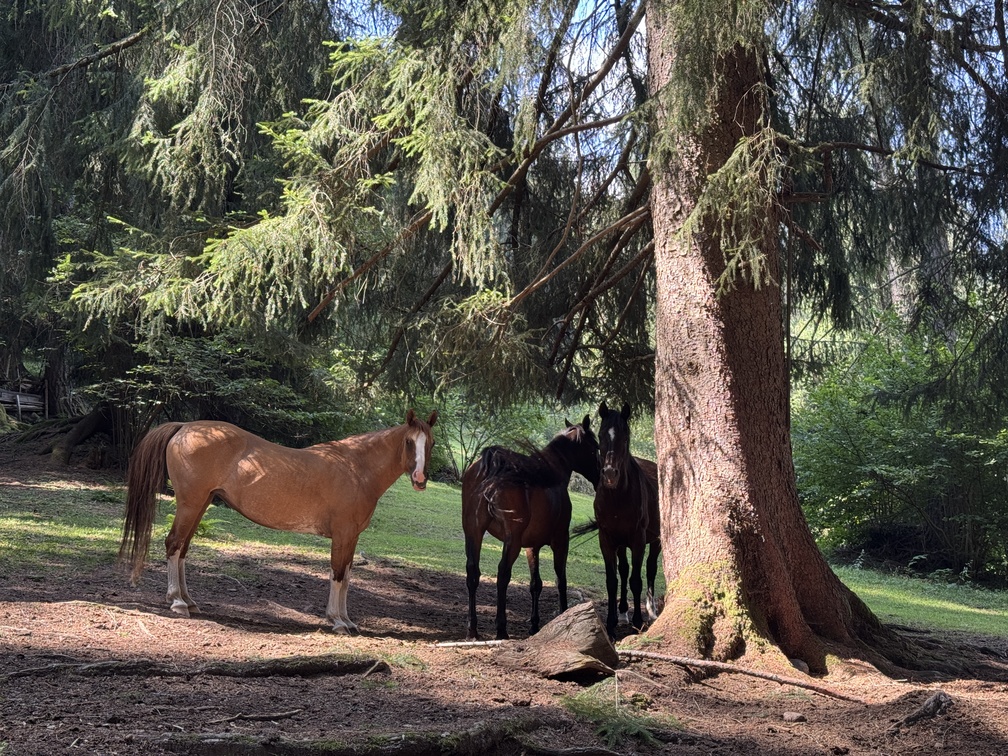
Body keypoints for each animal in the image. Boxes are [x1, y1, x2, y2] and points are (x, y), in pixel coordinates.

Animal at [119, 409, 437, 634]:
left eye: (431, 443)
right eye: (409, 442)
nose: (420, 479)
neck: (355, 468)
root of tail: (185, 426)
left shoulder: (352, 537)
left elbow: (346, 577)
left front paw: (347, 620)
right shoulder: (343, 534)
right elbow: (337, 575)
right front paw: (337, 621)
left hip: (200, 505)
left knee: (182, 549)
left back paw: (189, 601)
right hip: (190, 504)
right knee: (173, 544)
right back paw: (176, 602)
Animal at [461, 416, 601, 640]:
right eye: (595, 447)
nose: (601, 475)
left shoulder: (531, 546)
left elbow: (536, 584)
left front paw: (534, 625)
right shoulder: (561, 541)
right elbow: (561, 579)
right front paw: (564, 614)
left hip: (474, 533)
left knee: (473, 572)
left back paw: (472, 629)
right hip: (512, 541)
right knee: (503, 574)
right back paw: (501, 629)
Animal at [580, 401, 661, 638]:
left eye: (625, 437)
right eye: (600, 436)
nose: (609, 474)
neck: (617, 496)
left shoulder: (638, 539)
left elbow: (636, 579)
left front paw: (637, 621)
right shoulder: (607, 539)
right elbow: (613, 580)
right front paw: (611, 624)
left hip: (656, 541)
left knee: (650, 568)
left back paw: (651, 610)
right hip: (621, 543)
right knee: (623, 570)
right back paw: (624, 611)